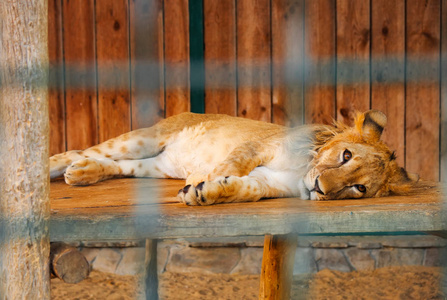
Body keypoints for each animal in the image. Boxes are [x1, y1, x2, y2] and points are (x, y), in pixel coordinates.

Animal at [50, 109, 420, 205]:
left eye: (360, 188)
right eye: (345, 155)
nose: (319, 188)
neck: (303, 170)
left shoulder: (269, 183)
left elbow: (245, 189)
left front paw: (205, 192)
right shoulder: (258, 147)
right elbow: (231, 164)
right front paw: (204, 181)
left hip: (157, 165)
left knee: (118, 165)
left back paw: (83, 172)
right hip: (143, 139)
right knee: (75, 150)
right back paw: (55, 168)